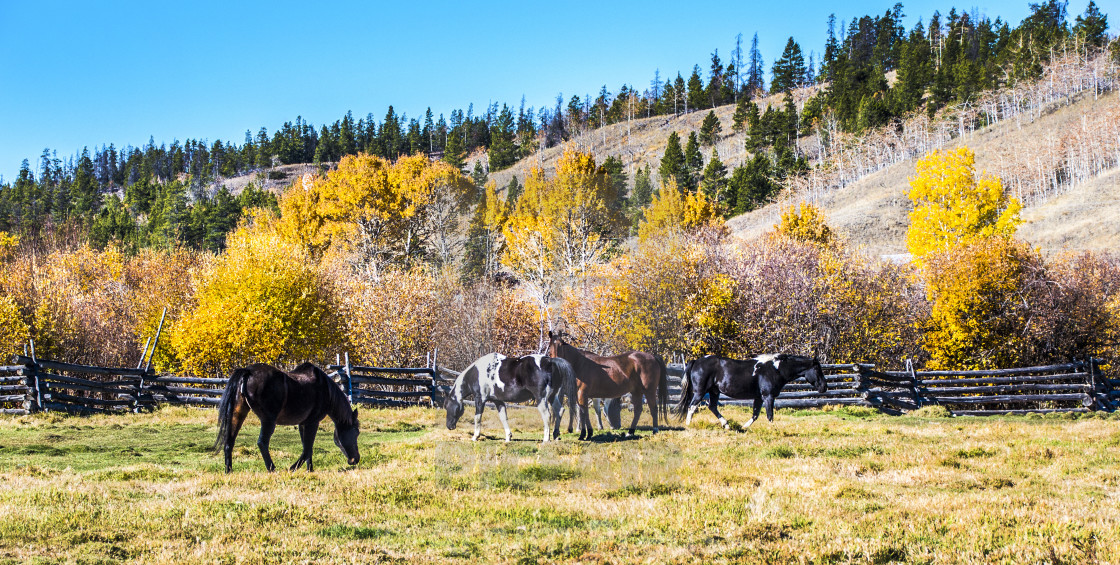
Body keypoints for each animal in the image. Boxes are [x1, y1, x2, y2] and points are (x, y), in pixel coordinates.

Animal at [212, 360, 358, 473]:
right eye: (356, 432)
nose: (355, 459)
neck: (325, 390)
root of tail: (248, 371)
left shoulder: (303, 423)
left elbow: (307, 448)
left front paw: (309, 470)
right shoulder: (312, 422)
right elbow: (307, 449)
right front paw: (293, 468)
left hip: (238, 413)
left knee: (229, 442)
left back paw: (228, 471)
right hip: (268, 420)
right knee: (262, 442)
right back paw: (272, 469)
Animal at [441, 354, 573, 441]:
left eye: (447, 406)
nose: (449, 426)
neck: (477, 372)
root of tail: (550, 361)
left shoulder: (480, 399)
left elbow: (477, 418)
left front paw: (475, 437)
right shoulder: (498, 401)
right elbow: (503, 418)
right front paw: (508, 437)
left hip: (541, 399)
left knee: (547, 415)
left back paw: (546, 439)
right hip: (552, 396)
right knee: (560, 410)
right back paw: (555, 435)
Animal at [667, 354, 828, 430]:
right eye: (817, 369)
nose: (824, 387)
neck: (775, 369)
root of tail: (696, 361)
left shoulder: (759, 398)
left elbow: (755, 415)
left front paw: (744, 427)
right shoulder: (768, 396)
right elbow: (769, 415)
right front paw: (773, 430)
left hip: (714, 392)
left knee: (712, 407)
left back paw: (727, 425)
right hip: (700, 391)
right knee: (692, 407)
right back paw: (689, 425)